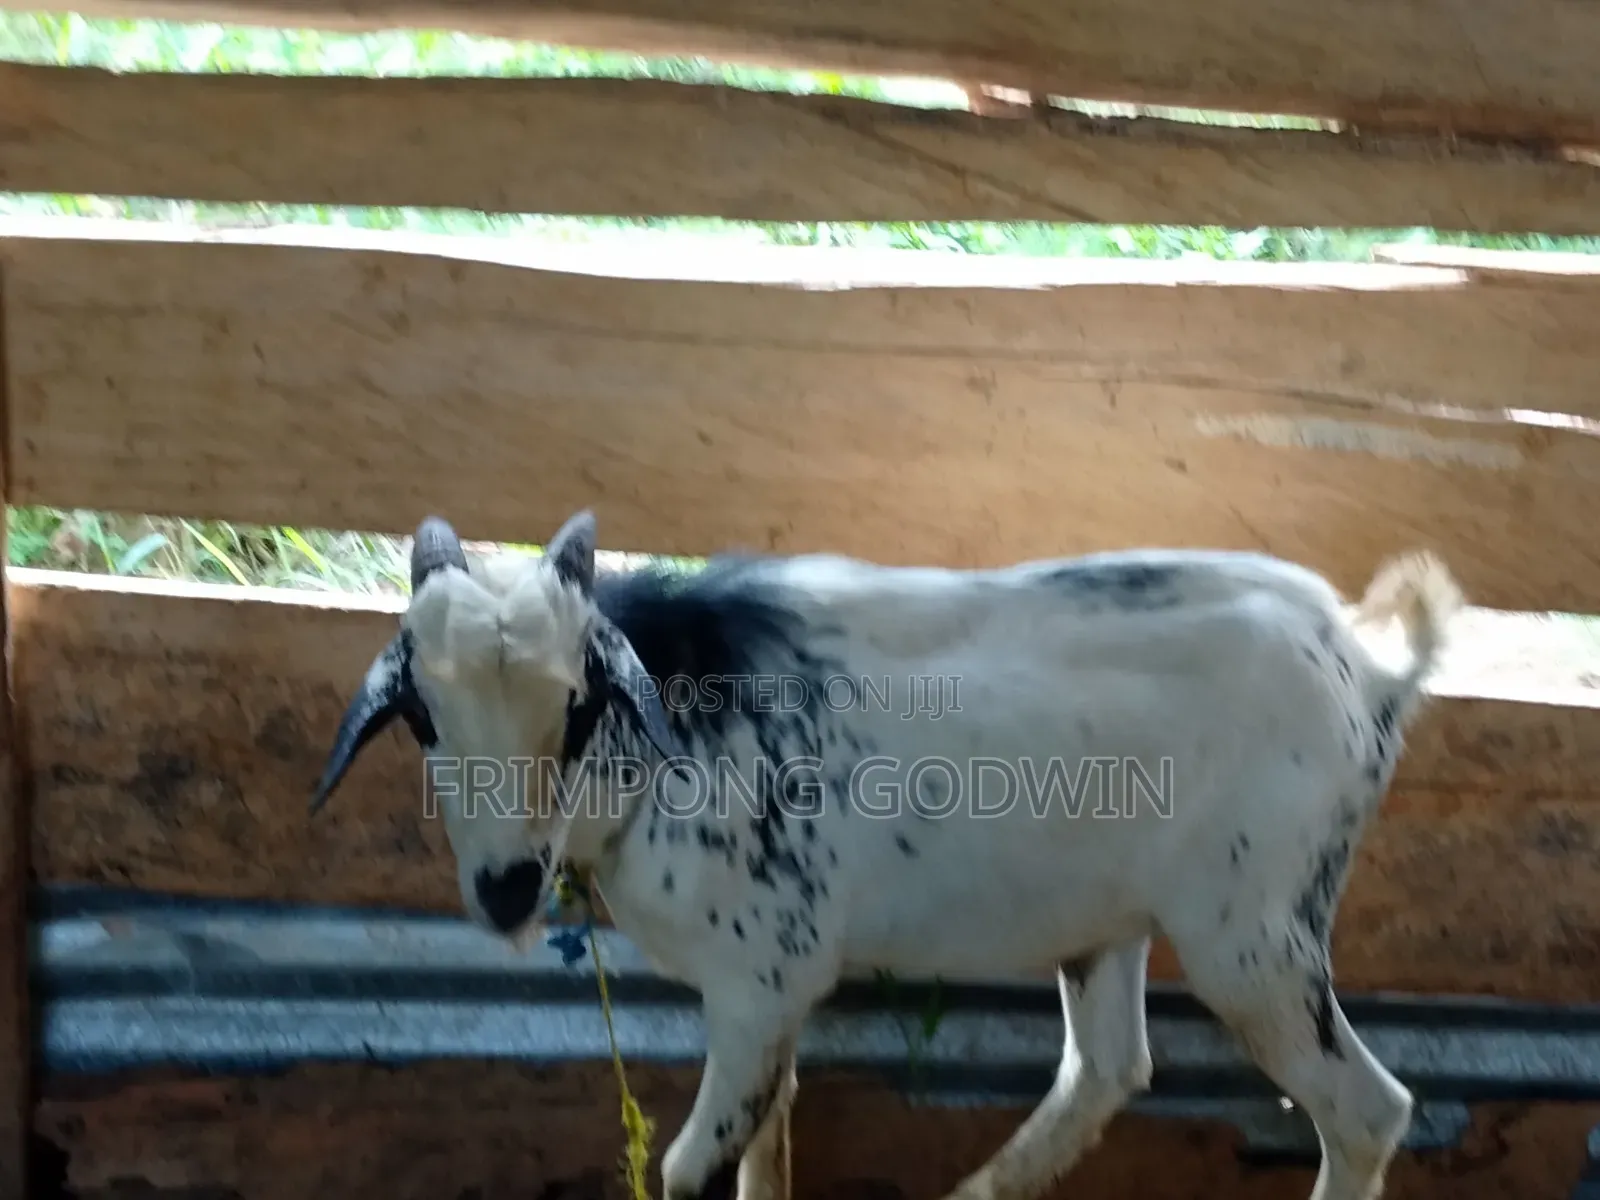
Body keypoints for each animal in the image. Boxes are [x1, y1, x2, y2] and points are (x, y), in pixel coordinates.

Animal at [311, 509, 1462, 1200]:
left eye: (579, 706)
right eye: (421, 718)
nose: (507, 889)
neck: (681, 713)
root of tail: (1369, 664)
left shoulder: (762, 977)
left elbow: (693, 1165)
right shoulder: (770, 1002)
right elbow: (766, 1140)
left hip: (1254, 929)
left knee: (1365, 1112)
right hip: (1113, 920)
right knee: (1107, 1067)